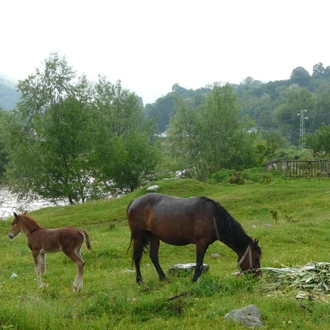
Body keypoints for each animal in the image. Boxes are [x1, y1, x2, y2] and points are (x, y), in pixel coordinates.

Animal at [127, 193, 262, 284]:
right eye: (256, 258)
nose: (259, 277)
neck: (214, 217)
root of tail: (134, 201)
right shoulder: (201, 243)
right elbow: (199, 264)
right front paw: (194, 280)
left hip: (154, 237)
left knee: (154, 257)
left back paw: (164, 279)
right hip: (138, 235)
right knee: (137, 257)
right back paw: (139, 281)